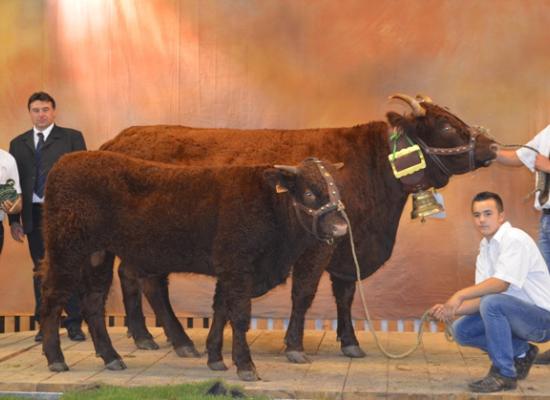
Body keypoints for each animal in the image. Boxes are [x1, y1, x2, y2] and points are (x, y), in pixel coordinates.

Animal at [38, 154, 350, 382]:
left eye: (337, 190)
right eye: (309, 193)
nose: (341, 227)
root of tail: (65, 161)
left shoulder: (227, 271)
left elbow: (221, 311)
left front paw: (215, 358)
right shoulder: (238, 267)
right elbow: (239, 316)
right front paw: (245, 365)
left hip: (98, 255)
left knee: (93, 302)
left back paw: (111, 357)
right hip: (66, 250)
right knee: (53, 299)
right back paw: (56, 359)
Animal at [100, 93, 500, 362]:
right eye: (446, 125)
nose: (492, 146)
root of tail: (119, 139)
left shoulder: (346, 246)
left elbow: (344, 295)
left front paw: (350, 341)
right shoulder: (318, 245)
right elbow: (304, 294)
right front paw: (294, 346)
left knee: (131, 275)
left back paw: (144, 335)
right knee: (151, 283)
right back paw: (180, 340)